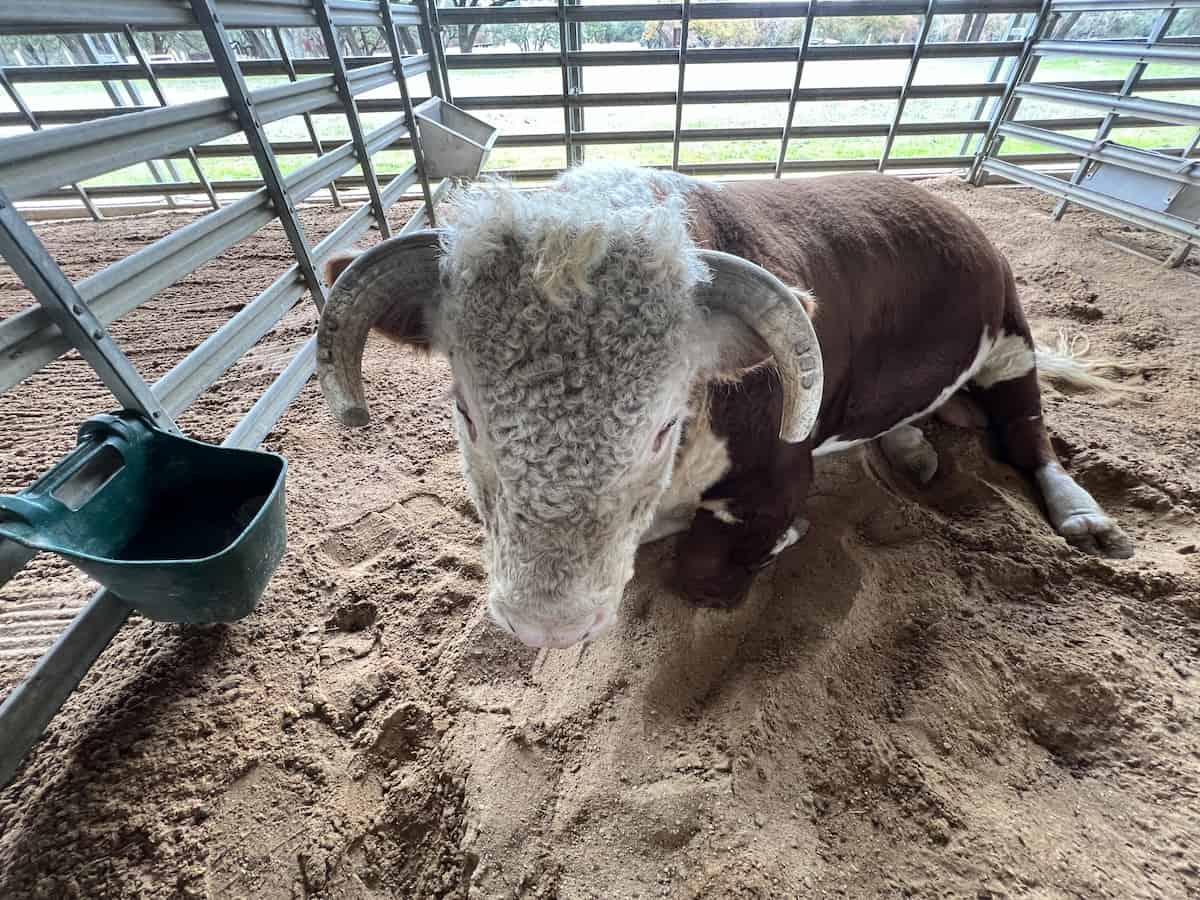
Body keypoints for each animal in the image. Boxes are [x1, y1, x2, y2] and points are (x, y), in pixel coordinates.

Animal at [312, 164, 1132, 648]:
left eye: (662, 428)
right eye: (467, 413)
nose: (549, 625)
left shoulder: (780, 477)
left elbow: (703, 569)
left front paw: (775, 543)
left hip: (1011, 339)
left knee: (1028, 434)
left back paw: (1084, 517)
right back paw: (913, 448)